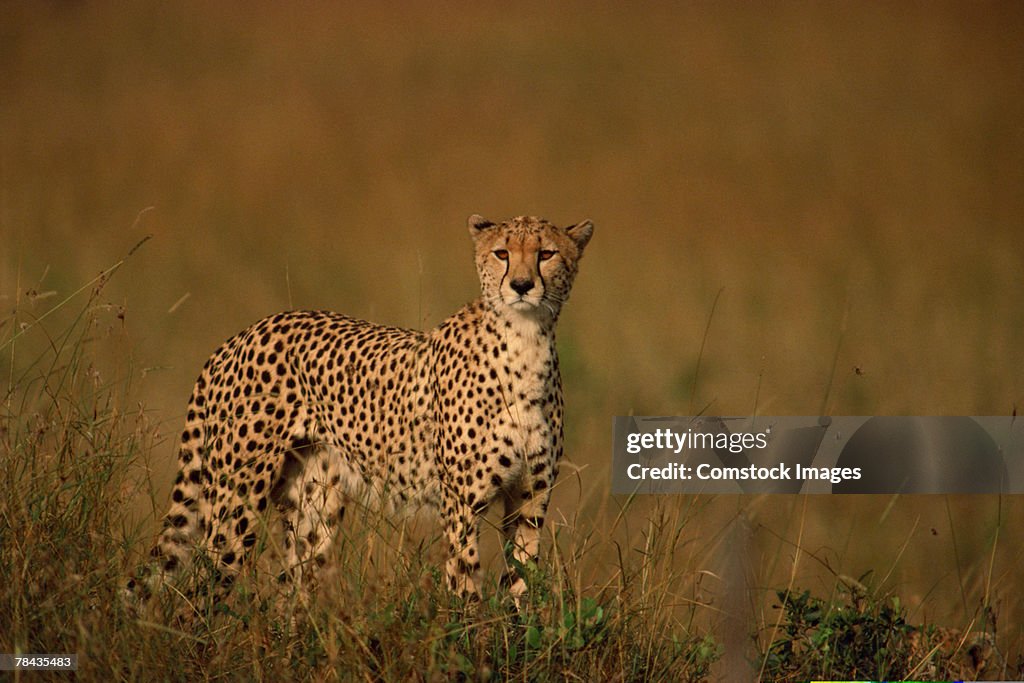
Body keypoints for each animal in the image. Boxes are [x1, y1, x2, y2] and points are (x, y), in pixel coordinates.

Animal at [130, 214, 593, 602]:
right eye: (502, 253)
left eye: (546, 254)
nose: (521, 285)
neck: (526, 341)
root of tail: (240, 335)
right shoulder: (463, 504)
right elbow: (466, 584)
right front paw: (472, 642)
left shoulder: (529, 502)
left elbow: (522, 585)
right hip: (236, 498)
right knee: (200, 587)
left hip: (312, 506)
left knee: (291, 587)